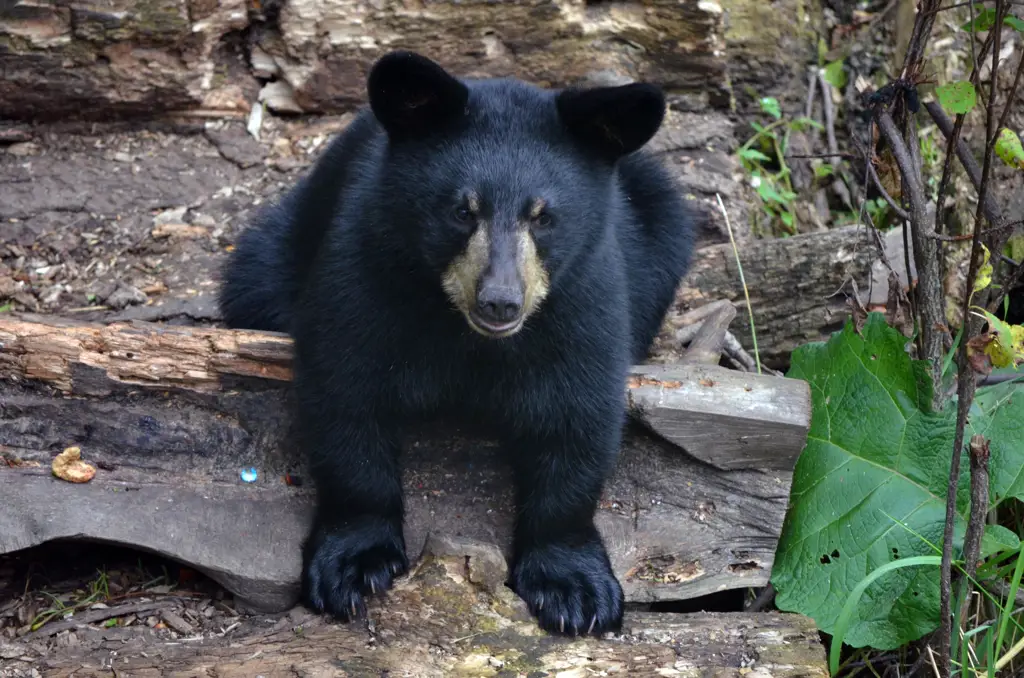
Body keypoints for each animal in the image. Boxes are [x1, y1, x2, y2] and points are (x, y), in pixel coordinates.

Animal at [219, 49, 692, 639]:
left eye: (544, 216)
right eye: (463, 210)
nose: (500, 302)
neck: (469, 336)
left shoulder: (586, 295)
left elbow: (576, 418)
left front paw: (575, 590)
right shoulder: (365, 269)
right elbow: (346, 395)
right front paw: (353, 565)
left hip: (659, 227)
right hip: (280, 252)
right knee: (255, 277)